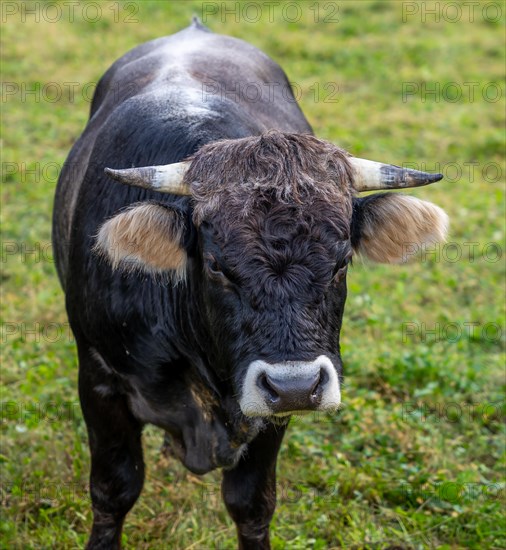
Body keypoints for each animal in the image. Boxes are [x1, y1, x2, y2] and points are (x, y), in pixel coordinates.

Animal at [51, 19, 446, 550]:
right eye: (216, 264)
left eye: (342, 261)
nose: (296, 386)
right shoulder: (99, 380)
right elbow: (114, 489)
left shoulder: (269, 418)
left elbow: (251, 504)